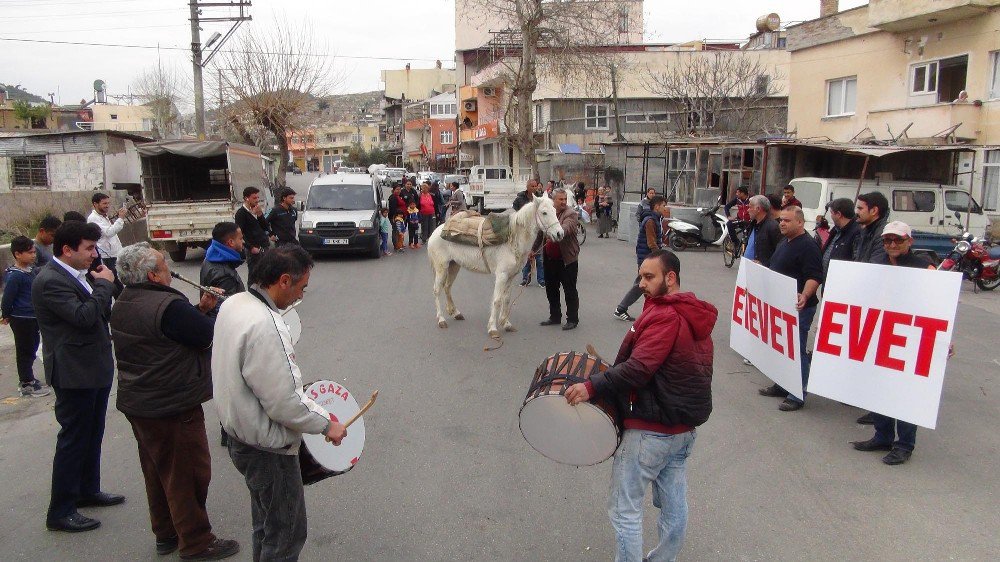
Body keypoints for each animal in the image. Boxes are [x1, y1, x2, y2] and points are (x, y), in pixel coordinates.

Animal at [428, 192, 564, 336]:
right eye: (544, 213)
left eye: (555, 210)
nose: (560, 234)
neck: (512, 240)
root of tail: (435, 233)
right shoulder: (501, 275)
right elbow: (497, 300)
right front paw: (493, 328)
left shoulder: (511, 276)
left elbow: (506, 299)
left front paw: (506, 323)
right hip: (442, 268)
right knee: (437, 290)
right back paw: (441, 319)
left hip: (454, 266)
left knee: (447, 287)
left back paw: (455, 313)